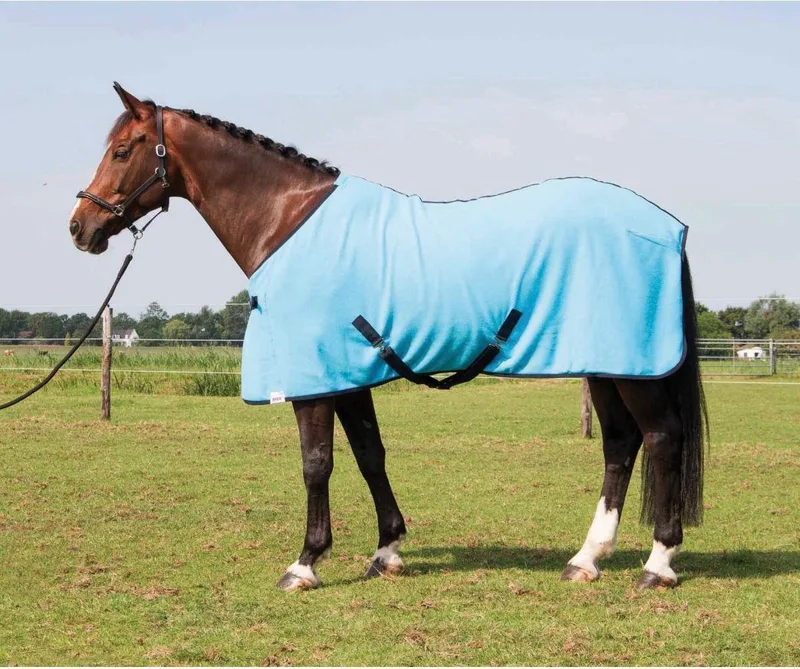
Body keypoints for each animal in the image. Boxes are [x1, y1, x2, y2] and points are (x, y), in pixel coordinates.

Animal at [68, 83, 707, 592]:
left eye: (122, 150)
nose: (80, 227)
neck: (285, 220)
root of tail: (669, 226)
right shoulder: (350, 372)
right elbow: (369, 454)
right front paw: (387, 550)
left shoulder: (316, 381)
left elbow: (317, 463)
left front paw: (305, 563)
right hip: (606, 364)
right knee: (620, 445)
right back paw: (586, 559)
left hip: (632, 370)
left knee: (661, 439)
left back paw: (658, 564)